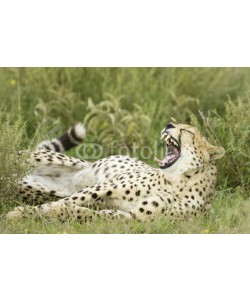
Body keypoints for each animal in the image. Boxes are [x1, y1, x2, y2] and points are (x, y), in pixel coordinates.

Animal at [5, 120, 225, 221]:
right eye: (176, 124)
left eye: (187, 131)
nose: (168, 124)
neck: (178, 181)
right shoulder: (103, 187)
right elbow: (69, 202)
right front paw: (21, 213)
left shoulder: (134, 219)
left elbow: (87, 212)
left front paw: (53, 212)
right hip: (38, 158)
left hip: (32, 188)